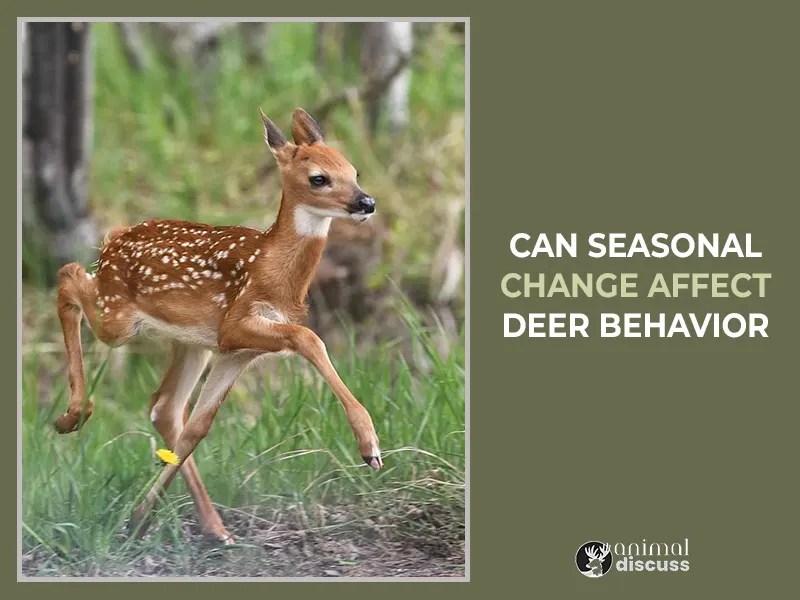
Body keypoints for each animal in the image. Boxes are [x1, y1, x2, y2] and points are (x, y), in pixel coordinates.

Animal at [53, 108, 382, 544]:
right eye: (319, 178)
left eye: (353, 170)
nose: (366, 202)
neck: (273, 273)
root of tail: (114, 239)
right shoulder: (234, 324)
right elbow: (308, 337)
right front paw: (369, 446)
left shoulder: (236, 352)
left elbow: (200, 426)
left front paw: (139, 516)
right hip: (116, 317)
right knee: (68, 276)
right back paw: (72, 416)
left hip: (189, 342)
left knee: (165, 408)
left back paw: (201, 525)